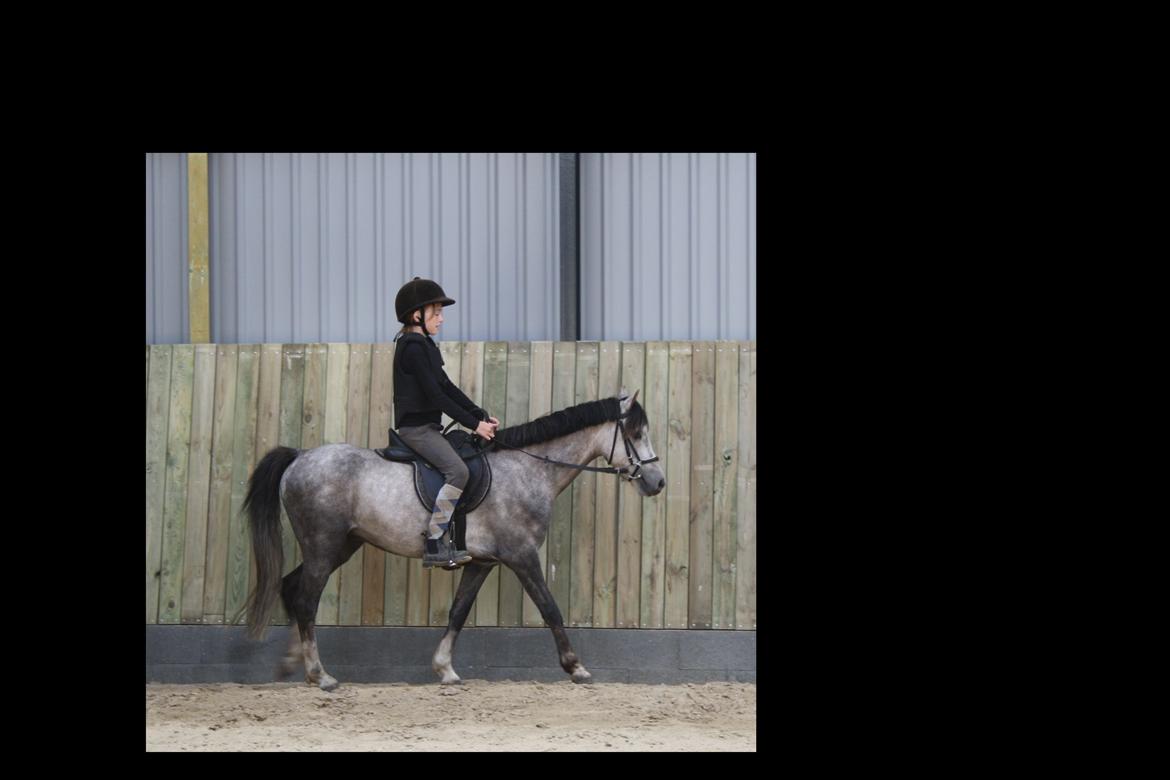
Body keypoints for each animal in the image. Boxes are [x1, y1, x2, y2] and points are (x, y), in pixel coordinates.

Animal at [240, 391, 665, 690]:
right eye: (635, 434)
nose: (657, 482)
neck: (527, 468)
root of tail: (300, 457)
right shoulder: (521, 555)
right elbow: (550, 609)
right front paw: (576, 667)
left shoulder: (482, 562)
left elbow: (458, 611)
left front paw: (445, 670)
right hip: (323, 545)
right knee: (305, 599)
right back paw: (320, 675)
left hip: (341, 545)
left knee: (292, 588)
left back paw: (293, 665)